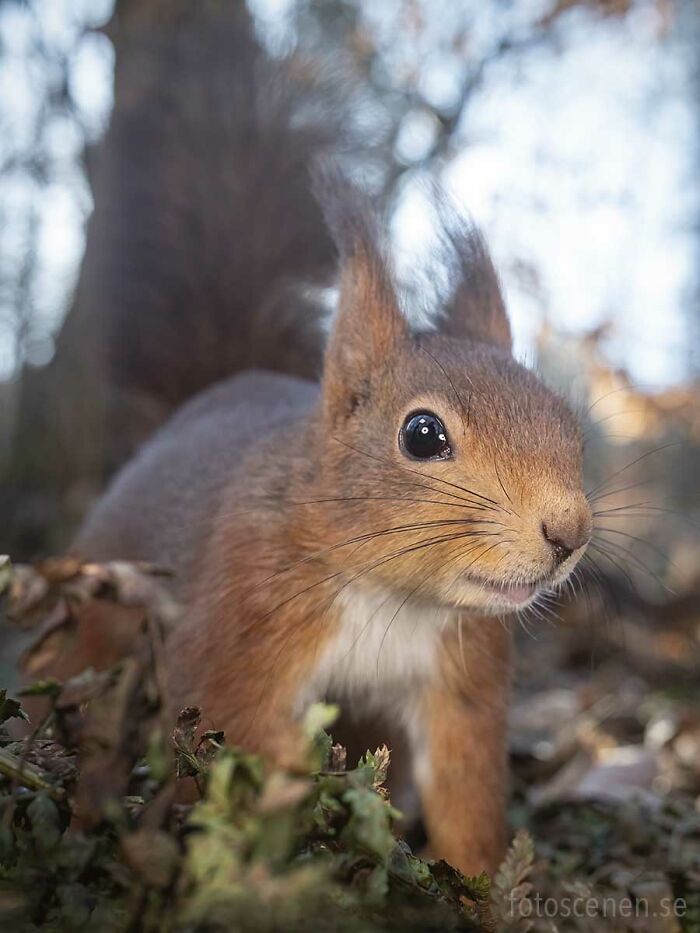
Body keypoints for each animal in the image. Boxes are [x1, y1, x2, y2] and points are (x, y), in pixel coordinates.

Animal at [51, 4, 593, 876]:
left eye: (569, 423)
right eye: (422, 433)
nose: (569, 531)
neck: (390, 594)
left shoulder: (463, 678)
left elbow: (466, 793)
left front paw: (481, 884)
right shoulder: (238, 626)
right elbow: (234, 735)